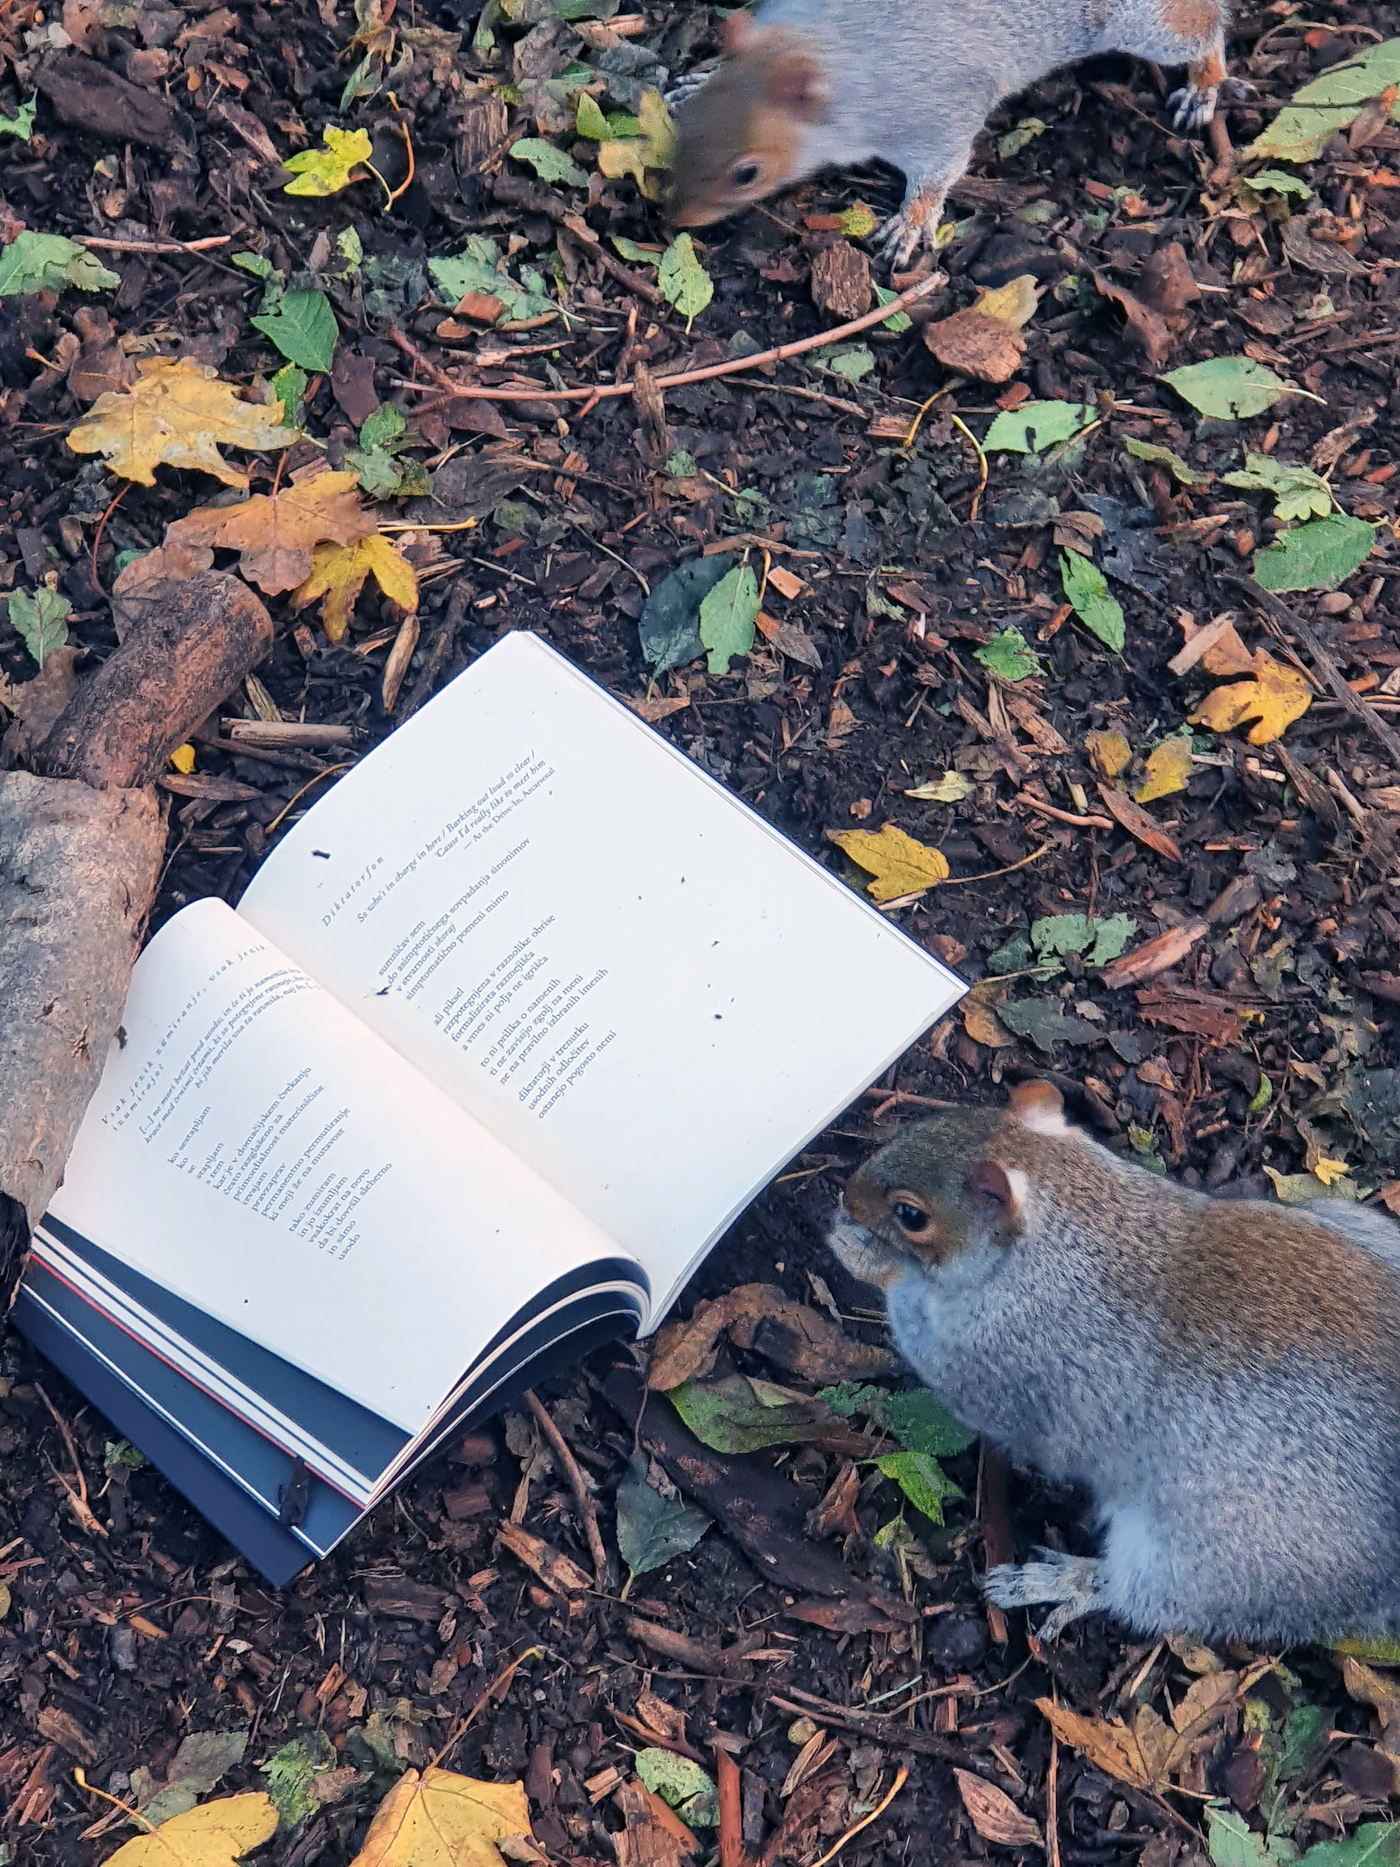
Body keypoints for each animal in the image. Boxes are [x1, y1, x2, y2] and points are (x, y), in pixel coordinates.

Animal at [675, 0, 1232, 266]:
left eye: (747, 173)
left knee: (1203, 27)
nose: (671, 216)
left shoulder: (934, 115)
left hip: (1148, 29)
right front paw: (693, 81)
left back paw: (1205, 84)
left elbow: (938, 171)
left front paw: (910, 222)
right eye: (688, 128)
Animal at [832, 1082, 1400, 1650]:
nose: (846, 1196)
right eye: (922, 1126)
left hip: (1216, 1557)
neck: (1082, 1227)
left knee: (1141, 1594)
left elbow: (931, 1346)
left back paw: (1062, 1581)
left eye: (910, 1215)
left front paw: (859, 1254)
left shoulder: (998, 1364)